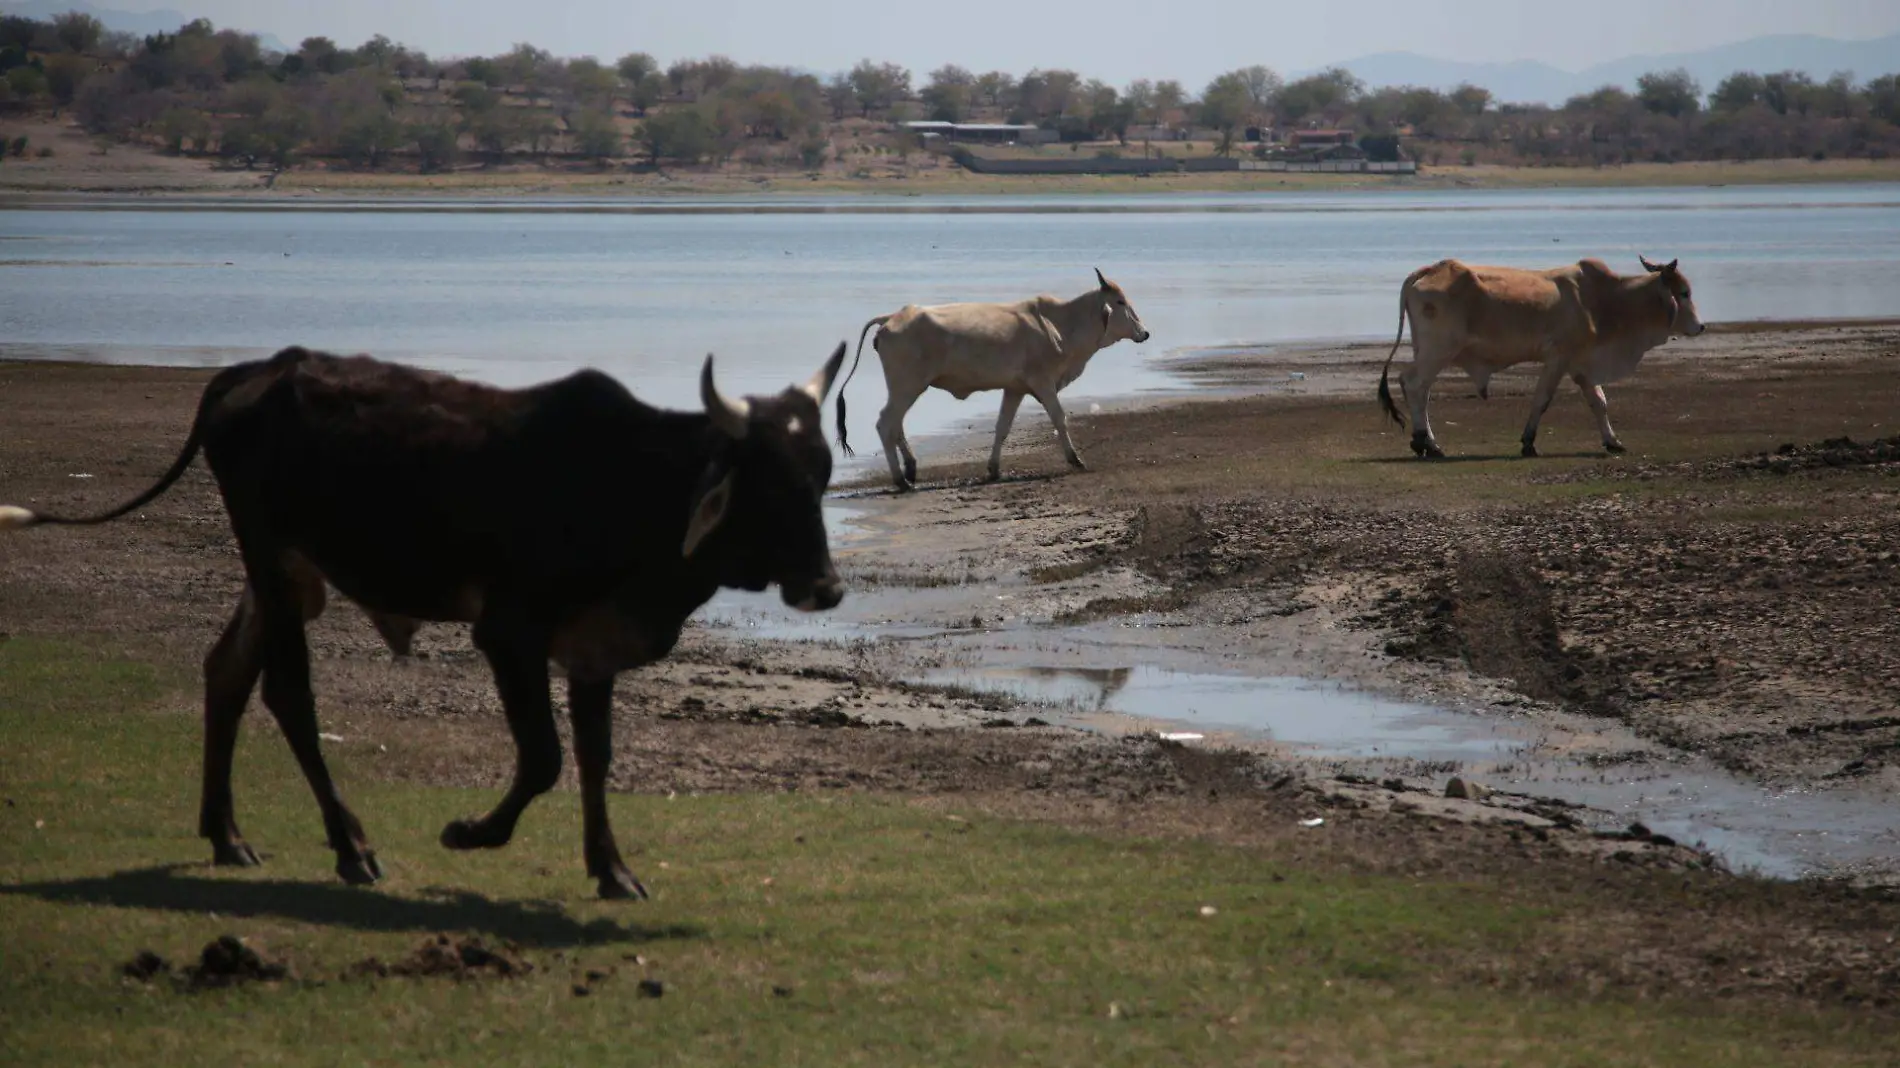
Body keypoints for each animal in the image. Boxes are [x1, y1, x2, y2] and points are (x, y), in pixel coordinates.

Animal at [0, 345, 847, 893]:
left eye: (822, 473)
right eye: (770, 483)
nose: (827, 589)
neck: (630, 482)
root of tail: (255, 372)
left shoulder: (593, 644)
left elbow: (595, 756)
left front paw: (612, 869)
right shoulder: (508, 632)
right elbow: (545, 757)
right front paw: (471, 833)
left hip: (286, 575)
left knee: (227, 674)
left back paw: (228, 836)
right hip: (271, 563)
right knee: (288, 697)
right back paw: (350, 846)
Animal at [839, 267, 1147, 490]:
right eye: (1120, 301)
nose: (1144, 333)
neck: (1059, 325)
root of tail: (892, 317)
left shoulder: (1014, 389)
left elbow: (1002, 427)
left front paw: (994, 469)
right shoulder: (1043, 382)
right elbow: (1060, 418)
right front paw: (1075, 460)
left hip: (905, 388)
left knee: (896, 425)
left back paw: (911, 469)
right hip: (907, 386)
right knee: (885, 423)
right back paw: (901, 480)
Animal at [1375, 258, 1702, 461]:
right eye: (1684, 293)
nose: (1700, 327)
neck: (1603, 301)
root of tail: (1428, 270)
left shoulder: (1580, 363)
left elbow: (1599, 402)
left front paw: (1613, 441)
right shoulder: (1558, 358)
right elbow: (1541, 400)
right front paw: (1528, 442)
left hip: (1428, 350)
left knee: (1421, 391)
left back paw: (1427, 442)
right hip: (1439, 349)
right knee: (1414, 384)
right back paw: (1425, 442)